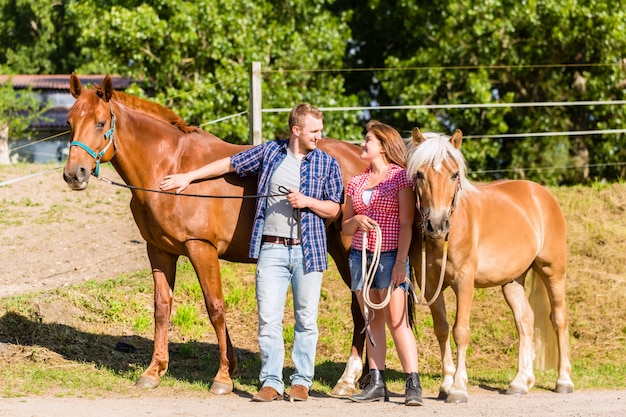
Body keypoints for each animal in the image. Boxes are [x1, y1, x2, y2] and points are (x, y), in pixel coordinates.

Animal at [62, 73, 366, 394]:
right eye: (70, 122)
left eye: (100, 123)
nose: (74, 174)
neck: (169, 168)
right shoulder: (159, 251)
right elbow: (162, 308)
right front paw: (155, 370)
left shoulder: (201, 248)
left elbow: (215, 307)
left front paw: (223, 376)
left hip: (351, 254)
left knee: (362, 308)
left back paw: (348, 379)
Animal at [404, 127, 572, 404]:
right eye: (419, 174)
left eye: (454, 174)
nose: (437, 225)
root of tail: (541, 194)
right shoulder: (431, 286)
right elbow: (442, 329)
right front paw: (446, 384)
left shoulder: (464, 281)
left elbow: (460, 331)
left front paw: (458, 388)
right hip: (512, 281)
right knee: (525, 320)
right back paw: (520, 382)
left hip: (552, 272)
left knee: (558, 319)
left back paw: (564, 380)